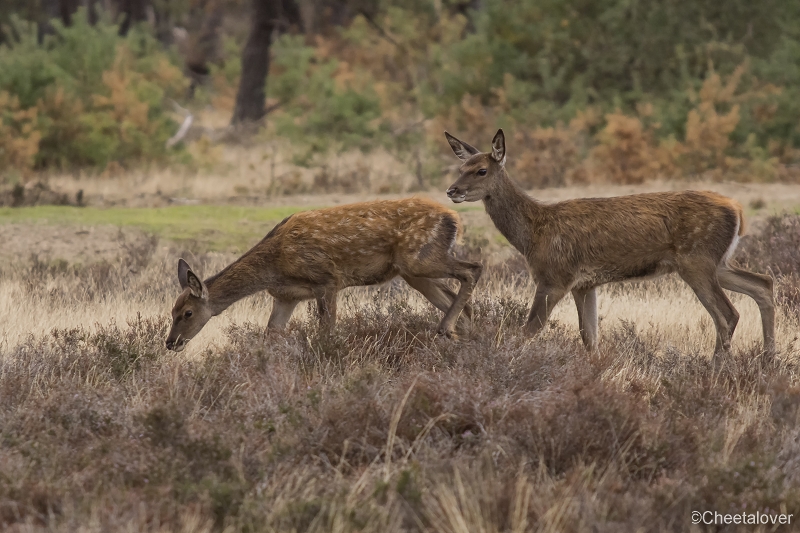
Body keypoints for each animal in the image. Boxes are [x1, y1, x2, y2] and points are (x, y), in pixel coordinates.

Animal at [164, 197, 482, 352]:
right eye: (172, 310)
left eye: (188, 312)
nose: (170, 343)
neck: (275, 267)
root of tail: (454, 218)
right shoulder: (285, 297)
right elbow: (271, 334)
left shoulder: (327, 280)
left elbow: (326, 333)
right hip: (411, 271)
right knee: (457, 300)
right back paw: (461, 339)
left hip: (417, 259)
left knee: (473, 269)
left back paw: (447, 329)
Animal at [444, 128, 776, 358]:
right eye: (460, 169)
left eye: (481, 170)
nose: (451, 190)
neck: (533, 235)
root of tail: (738, 210)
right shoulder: (584, 284)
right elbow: (589, 338)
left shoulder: (555, 276)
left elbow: (529, 330)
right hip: (718, 262)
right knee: (763, 283)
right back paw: (767, 361)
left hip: (697, 260)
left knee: (727, 314)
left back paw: (715, 369)